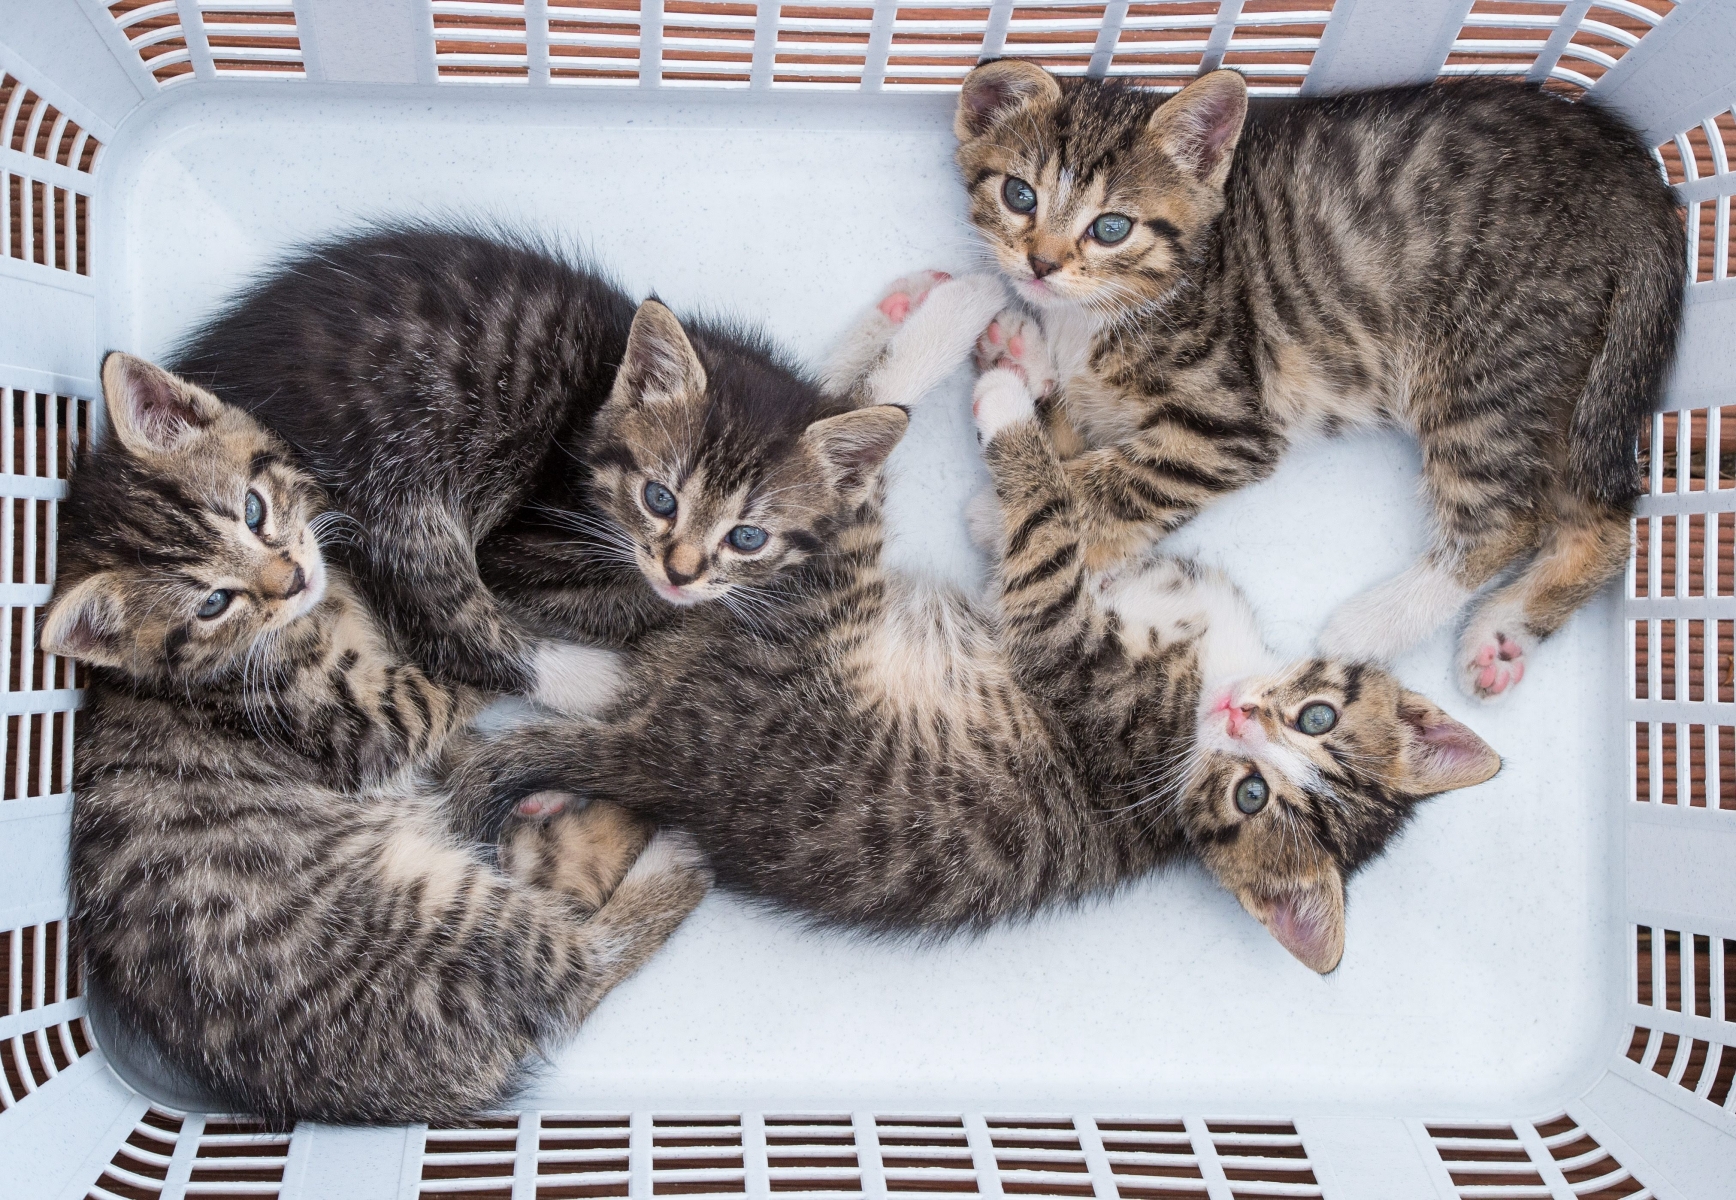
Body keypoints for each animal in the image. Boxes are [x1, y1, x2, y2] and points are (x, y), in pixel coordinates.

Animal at [50, 352, 708, 1125]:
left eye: (253, 510)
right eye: (213, 601)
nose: (292, 577)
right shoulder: (365, 724)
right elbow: (452, 670)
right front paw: (575, 655)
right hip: (434, 907)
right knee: (579, 963)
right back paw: (676, 854)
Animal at [447, 276, 1492, 972]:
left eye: (1248, 798)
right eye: (1316, 718)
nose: (1242, 716)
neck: (1196, 712)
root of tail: (664, 755)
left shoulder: (1068, 651)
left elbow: (1047, 527)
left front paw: (1005, 403)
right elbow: (1074, 513)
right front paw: (1029, 376)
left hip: (797, 593)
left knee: (850, 457)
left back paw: (943, 328)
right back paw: (929, 307)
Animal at [951, 63, 1680, 705]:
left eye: (1111, 227)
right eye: (1019, 195)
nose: (1041, 264)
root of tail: (1633, 176)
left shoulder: (1227, 427)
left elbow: (1124, 478)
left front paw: (999, 513)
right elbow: (1066, 434)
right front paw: (1018, 354)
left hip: (1488, 357)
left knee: (1510, 517)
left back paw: (1376, 624)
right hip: (1556, 377)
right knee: (1604, 518)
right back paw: (1501, 638)